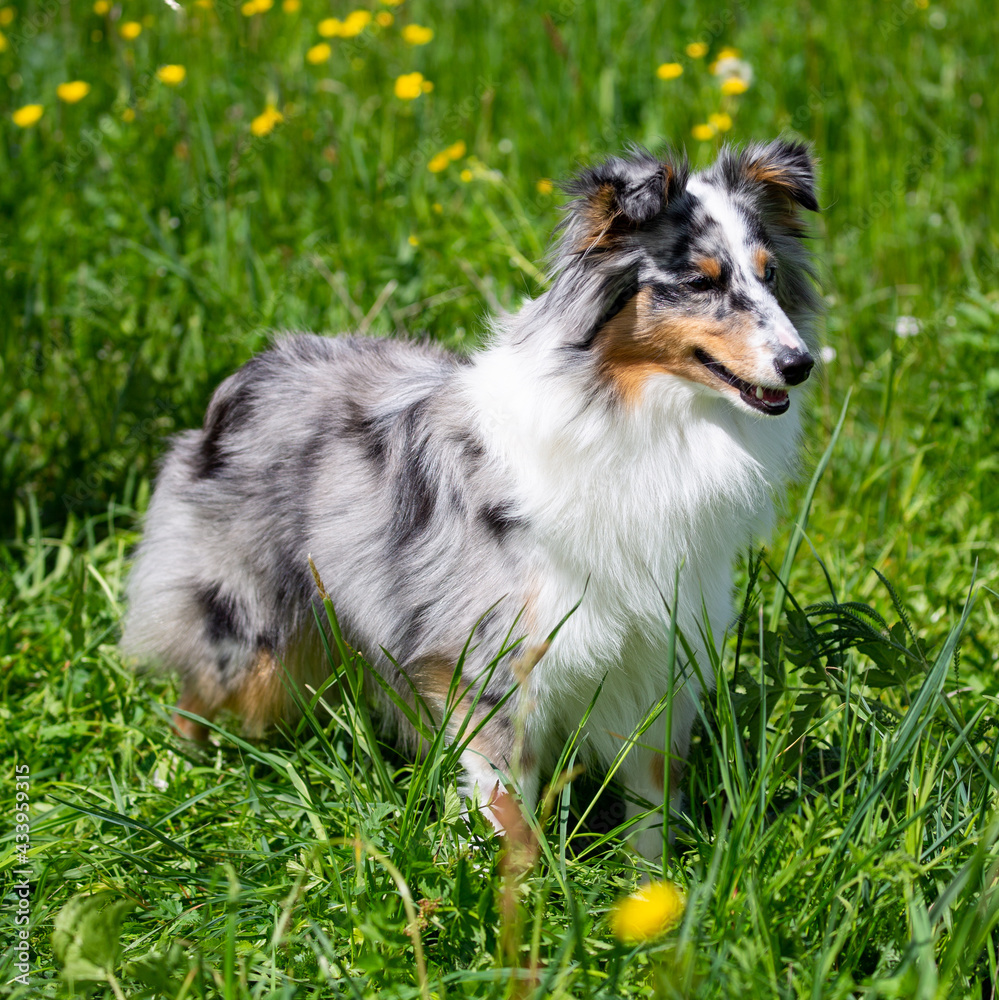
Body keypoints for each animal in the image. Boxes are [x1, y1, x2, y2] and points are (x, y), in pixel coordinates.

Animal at [121, 141, 820, 860]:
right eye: (702, 282)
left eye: (768, 276)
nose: (800, 364)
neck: (639, 413)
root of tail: (257, 365)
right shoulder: (494, 663)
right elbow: (511, 813)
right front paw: (520, 887)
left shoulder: (658, 655)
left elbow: (652, 798)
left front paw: (656, 884)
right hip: (244, 625)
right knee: (195, 695)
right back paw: (168, 788)